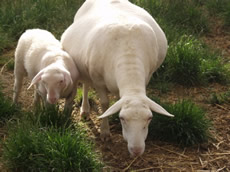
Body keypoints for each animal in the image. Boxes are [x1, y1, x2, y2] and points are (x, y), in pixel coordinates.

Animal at [60, 0, 173, 156]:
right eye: (122, 118)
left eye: (149, 118)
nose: (137, 150)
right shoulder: (98, 80)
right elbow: (104, 103)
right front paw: (105, 132)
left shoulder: (147, 76)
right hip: (84, 68)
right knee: (86, 85)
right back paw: (85, 110)